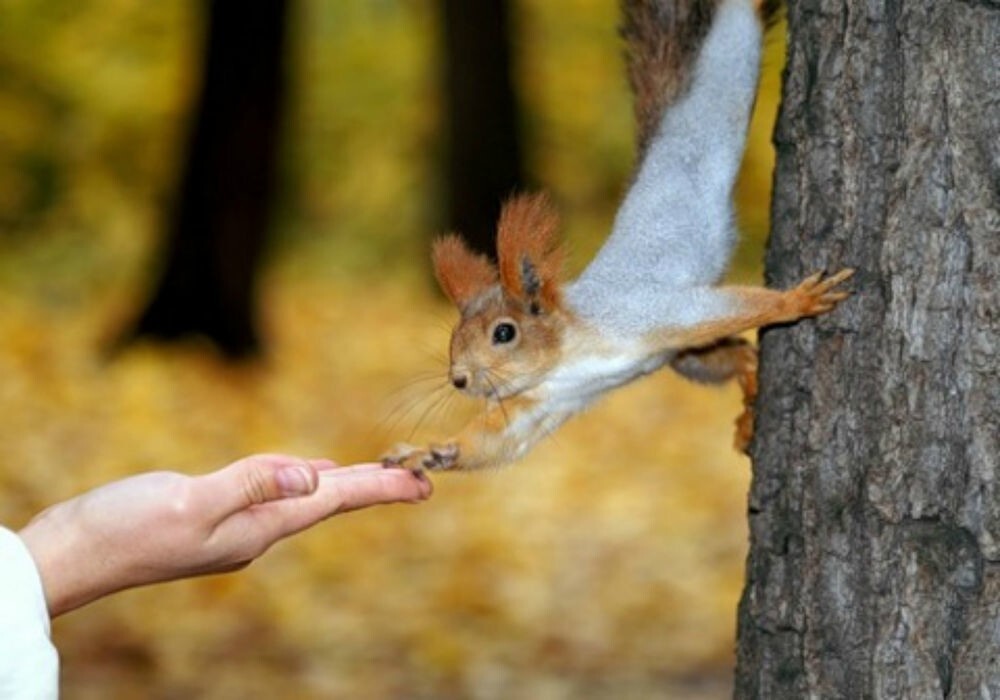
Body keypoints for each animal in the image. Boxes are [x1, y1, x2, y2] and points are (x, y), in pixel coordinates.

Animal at [382, 0, 852, 474]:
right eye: (454, 337)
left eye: (503, 333)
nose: (458, 379)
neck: (570, 353)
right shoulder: (548, 398)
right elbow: (495, 440)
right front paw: (429, 451)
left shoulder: (643, 312)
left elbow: (721, 308)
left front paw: (796, 301)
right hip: (686, 360)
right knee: (738, 356)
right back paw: (748, 402)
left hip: (726, 72)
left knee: (736, 32)